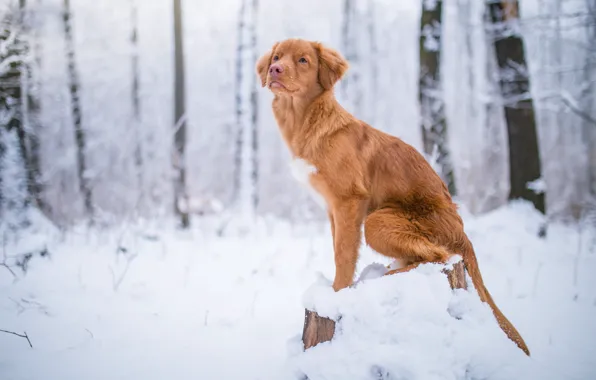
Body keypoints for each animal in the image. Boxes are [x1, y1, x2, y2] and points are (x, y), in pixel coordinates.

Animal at [256, 37, 532, 356]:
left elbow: (343, 254)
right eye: (277, 57)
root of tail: (463, 234)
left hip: (377, 221)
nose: (275, 70)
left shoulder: (349, 201)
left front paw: (338, 294)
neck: (309, 122)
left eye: (302, 60)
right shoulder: (333, 209)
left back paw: (390, 275)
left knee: (438, 256)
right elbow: (339, 246)